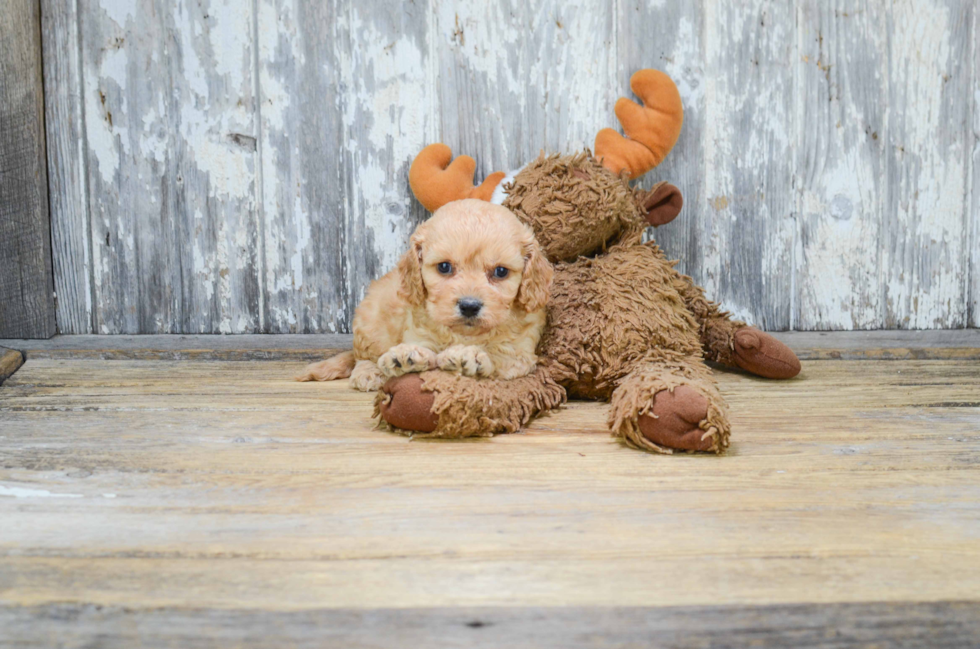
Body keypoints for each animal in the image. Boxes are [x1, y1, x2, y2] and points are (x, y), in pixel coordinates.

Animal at [294, 197, 556, 390]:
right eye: (444, 267)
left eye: (500, 271)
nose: (469, 306)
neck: (464, 334)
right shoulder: (417, 331)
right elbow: (425, 350)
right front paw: (407, 355)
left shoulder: (521, 353)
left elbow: (498, 353)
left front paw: (468, 355)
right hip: (369, 324)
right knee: (362, 356)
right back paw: (368, 372)